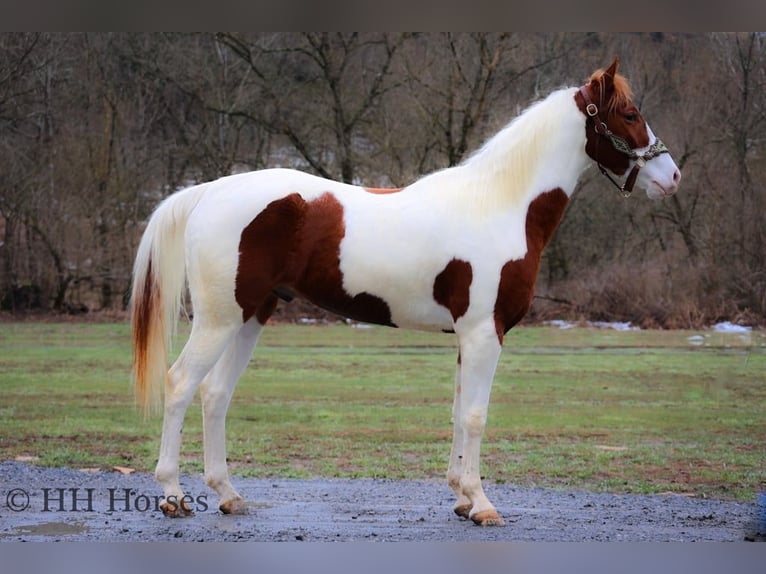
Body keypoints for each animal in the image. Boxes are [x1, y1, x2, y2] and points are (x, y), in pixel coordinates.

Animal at [132, 57, 684, 528]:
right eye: (630, 114)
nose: (673, 176)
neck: (501, 205)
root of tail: (210, 191)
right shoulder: (485, 333)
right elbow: (476, 416)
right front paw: (482, 504)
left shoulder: (467, 336)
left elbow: (459, 413)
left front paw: (461, 498)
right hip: (220, 319)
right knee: (180, 384)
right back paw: (173, 496)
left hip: (253, 315)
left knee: (215, 394)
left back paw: (228, 495)